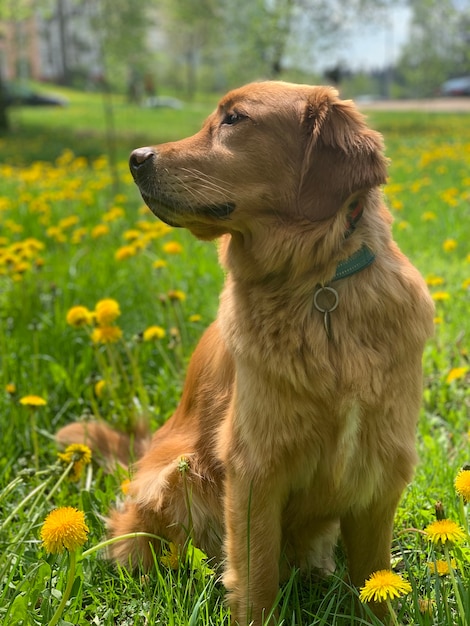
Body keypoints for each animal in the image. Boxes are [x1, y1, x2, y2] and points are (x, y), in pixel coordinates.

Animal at [57, 80, 434, 620]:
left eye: (234, 119)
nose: (135, 158)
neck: (315, 284)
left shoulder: (380, 463)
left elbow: (374, 577)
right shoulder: (255, 467)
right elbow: (256, 576)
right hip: (177, 478)